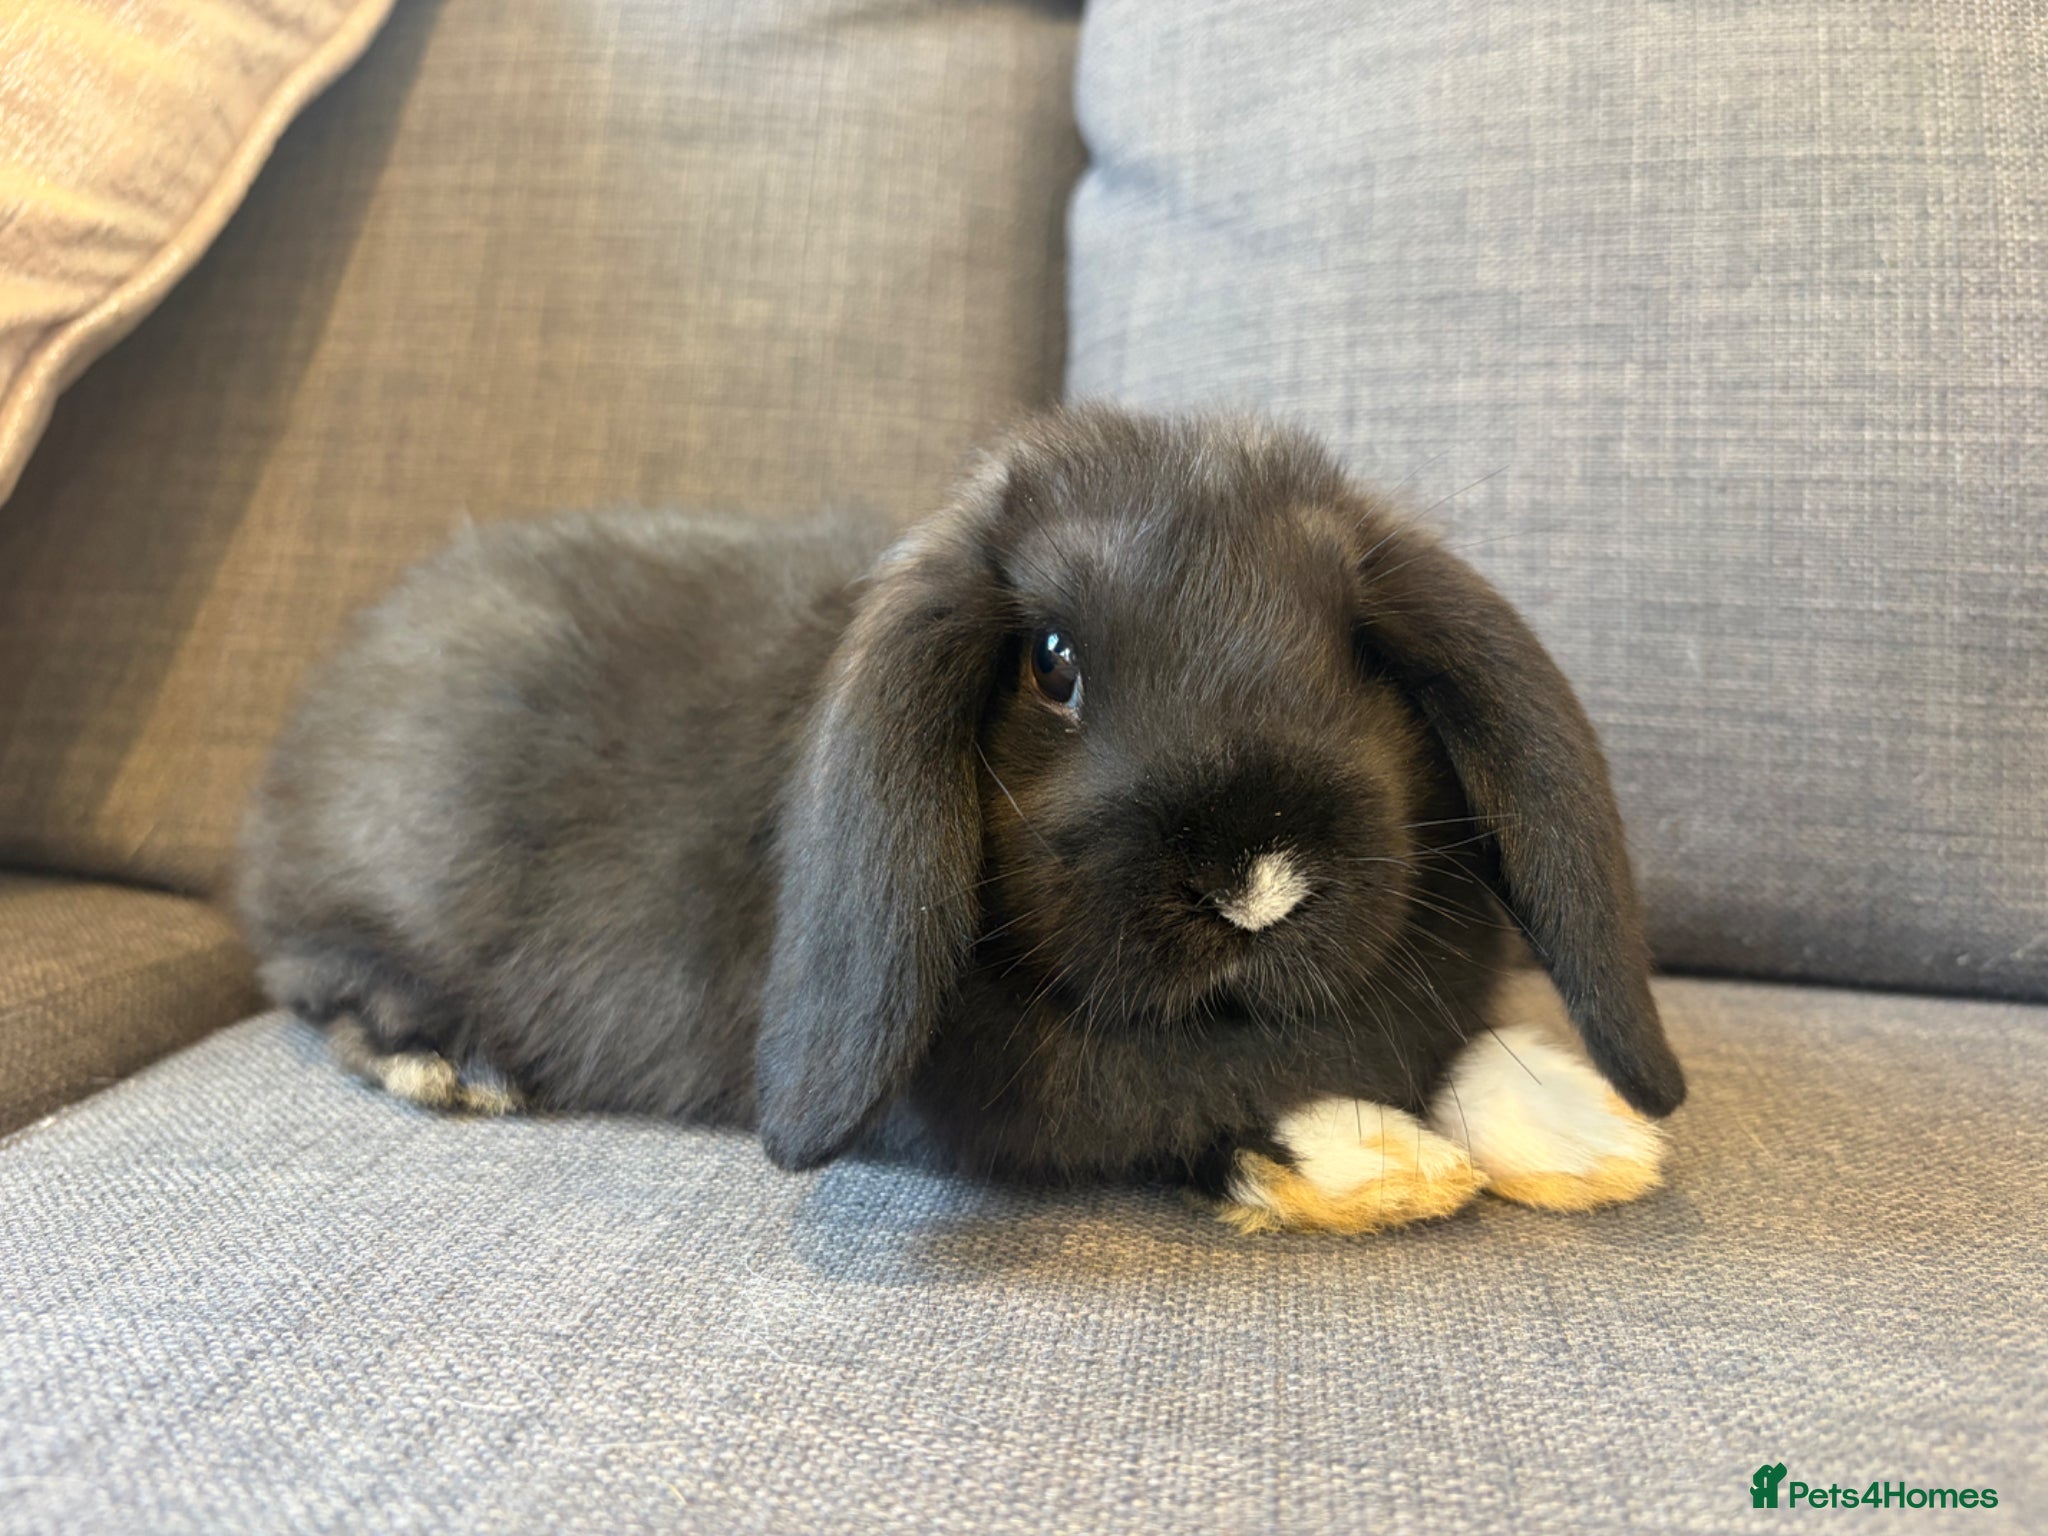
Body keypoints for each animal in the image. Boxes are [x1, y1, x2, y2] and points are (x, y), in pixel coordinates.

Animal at [239, 406, 1686, 1234]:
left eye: (1359, 656)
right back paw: (449, 1061)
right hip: (358, 910)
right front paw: (1364, 1161)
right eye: (1051, 663)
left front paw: (1580, 1124)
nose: (1256, 879)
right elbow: (1172, 1091)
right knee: (316, 980)